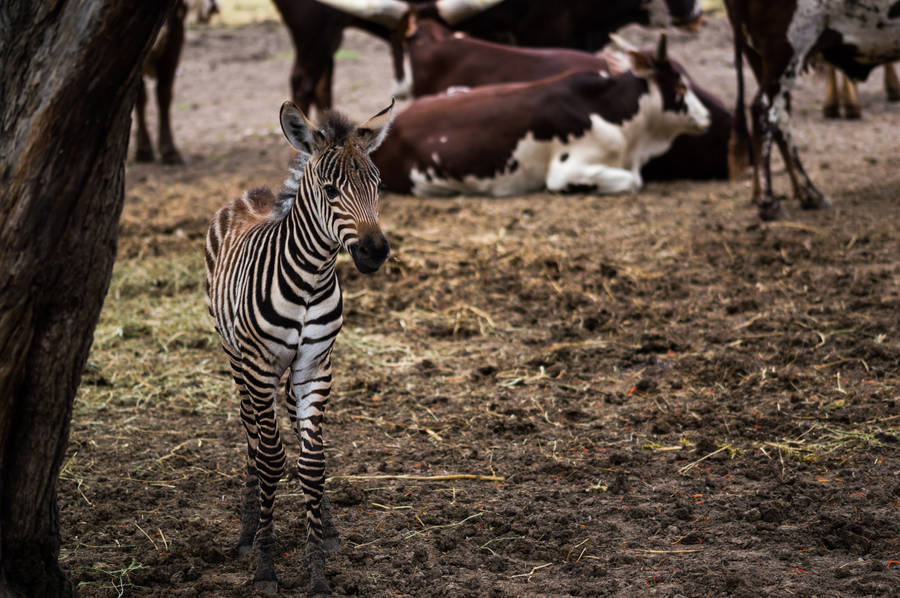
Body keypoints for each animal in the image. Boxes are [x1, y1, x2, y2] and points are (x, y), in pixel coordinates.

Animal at [204, 99, 394, 595]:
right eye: (330, 190)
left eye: (378, 185)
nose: (375, 252)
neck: (310, 279)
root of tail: (255, 193)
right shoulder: (259, 364)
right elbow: (271, 458)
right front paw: (265, 564)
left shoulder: (315, 365)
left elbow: (313, 461)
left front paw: (317, 568)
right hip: (237, 359)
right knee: (252, 434)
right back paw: (248, 531)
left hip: (290, 373)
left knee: (289, 424)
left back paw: (324, 526)